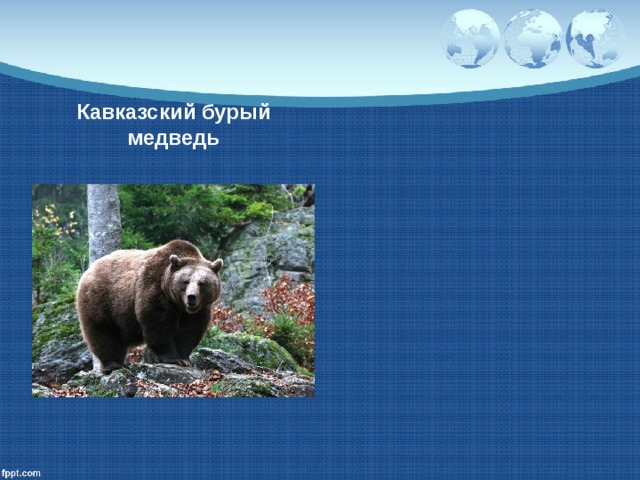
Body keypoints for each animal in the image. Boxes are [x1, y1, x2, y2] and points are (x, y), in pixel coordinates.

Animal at [76, 240, 223, 374]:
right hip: (102, 300)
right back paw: (113, 364)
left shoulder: (198, 310)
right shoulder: (154, 290)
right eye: (185, 281)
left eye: (202, 283)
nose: (191, 297)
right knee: (103, 332)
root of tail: (89, 269)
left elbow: (189, 331)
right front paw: (173, 358)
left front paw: (185, 359)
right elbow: (158, 326)